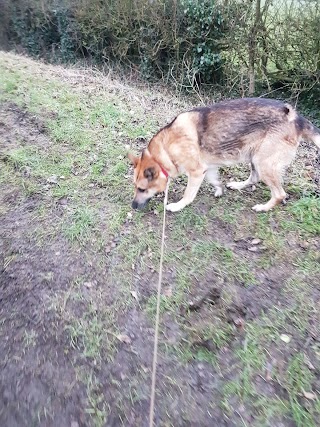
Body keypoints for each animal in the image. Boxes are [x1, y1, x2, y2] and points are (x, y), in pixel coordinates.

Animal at [128, 99, 320, 214]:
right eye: (136, 187)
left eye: (142, 189)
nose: (133, 206)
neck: (166, 149)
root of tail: (297, 118)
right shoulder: (207, 168)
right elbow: (214, 180)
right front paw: (219, 189)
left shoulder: (196, 172)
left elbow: (188, 194)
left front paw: (177, 206)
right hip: (254, 158)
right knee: (254, 178)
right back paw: (237, 185)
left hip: (263, 163)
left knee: (280, 194)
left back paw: (263, 208)